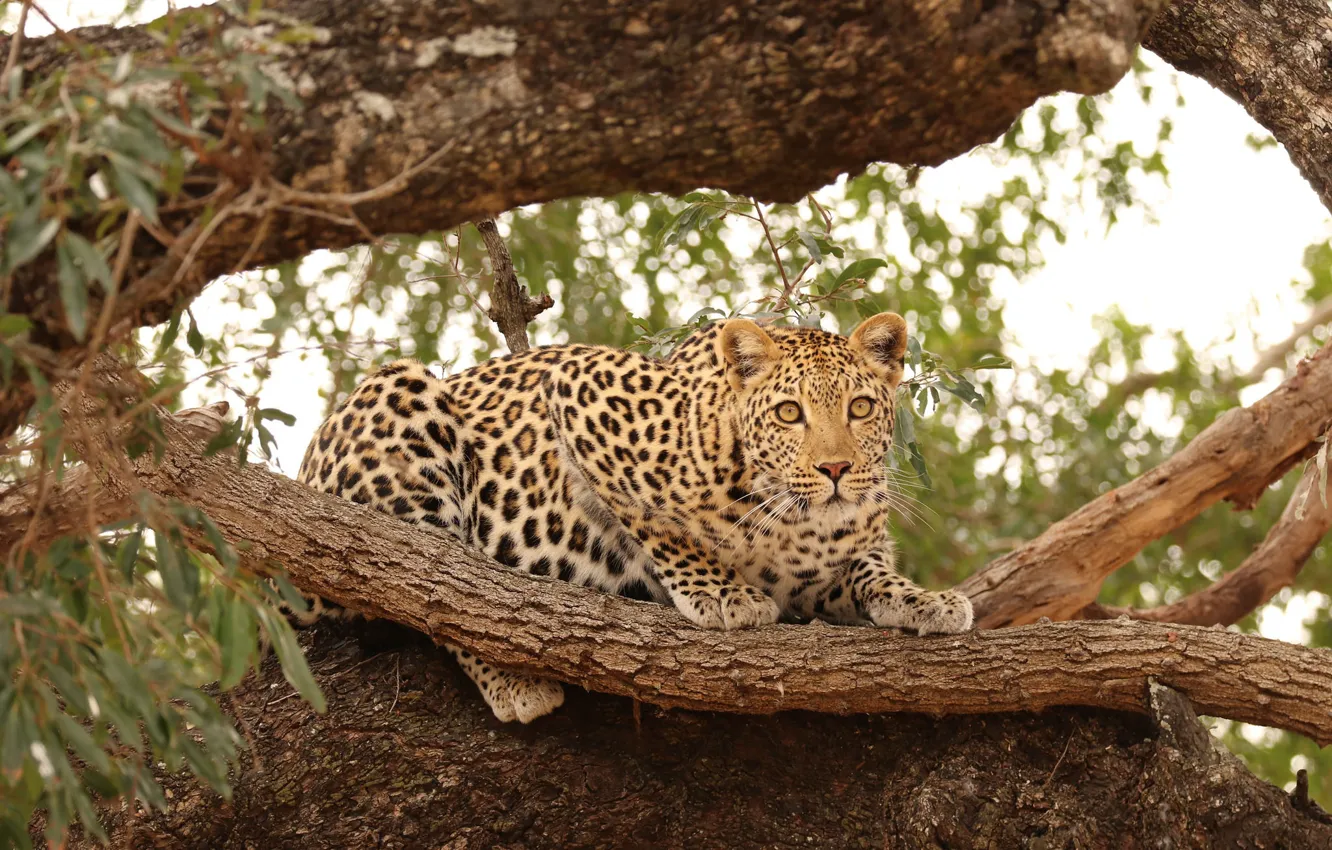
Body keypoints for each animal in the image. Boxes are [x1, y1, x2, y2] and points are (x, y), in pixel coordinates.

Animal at [297, 312, 974, 723]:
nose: (836, 468)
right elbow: (652, 522)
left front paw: (925, 600)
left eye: (860, 407)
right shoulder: (576, 385)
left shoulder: (826, 569)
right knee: (431, 582)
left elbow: (871, 572)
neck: (790, 520)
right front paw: (722, 593)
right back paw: (513, 679)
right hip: (401, 396)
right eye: (788, 413)